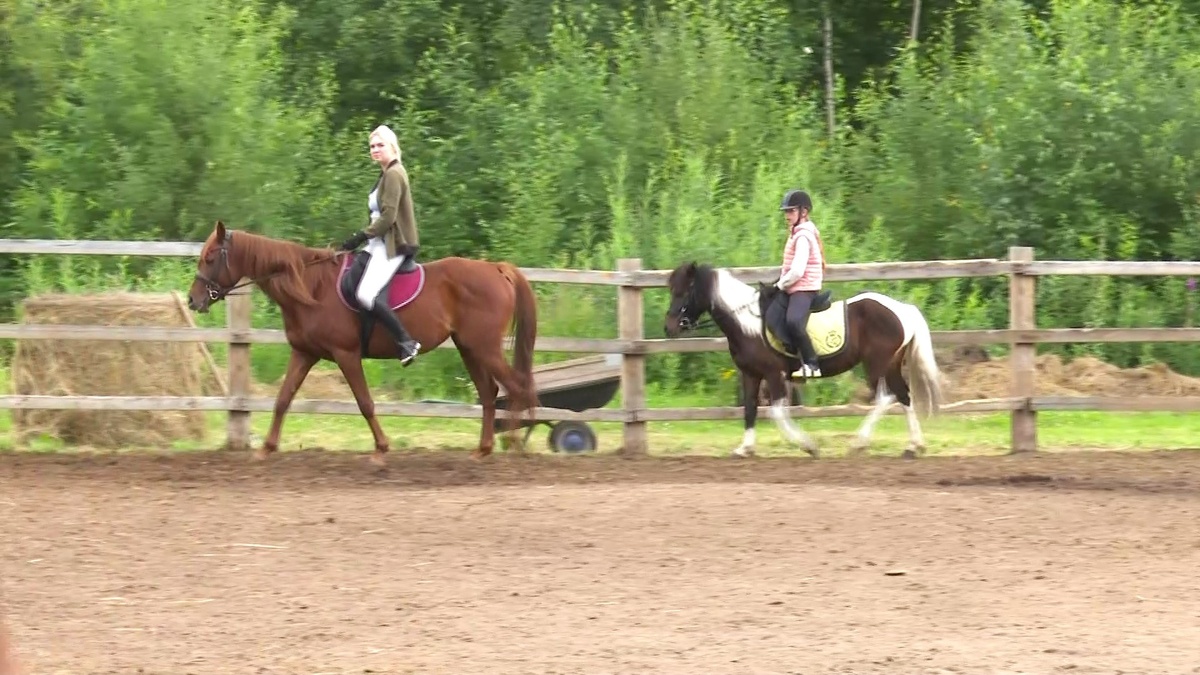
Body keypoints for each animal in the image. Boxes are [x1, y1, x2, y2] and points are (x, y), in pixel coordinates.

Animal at [184, 219, 537, 461]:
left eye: (211, 257)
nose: (193, 300)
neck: (312, 287)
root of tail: (496, 269)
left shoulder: (346, 354)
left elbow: (365, 402)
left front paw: (381, 449)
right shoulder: (304, 353)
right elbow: (283, 399)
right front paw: (267, 448)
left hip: (484, 348)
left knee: (517, 388)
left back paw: (515, 447)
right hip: (470, 348)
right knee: (490, 393)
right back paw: (484, 449)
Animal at [662, 260, 940, 458]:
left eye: (685, 291)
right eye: (671, 290)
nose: (669, 327)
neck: (748, 324)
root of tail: (903, 309)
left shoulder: (774, 374)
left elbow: (776, 412)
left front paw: (808, 446)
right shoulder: (751, 374)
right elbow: (750, 409)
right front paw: (744, 448)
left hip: (876, 364)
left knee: (885, 397)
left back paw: (858, 444)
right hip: (891, 364)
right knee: (903, 396)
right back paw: (913, 447)